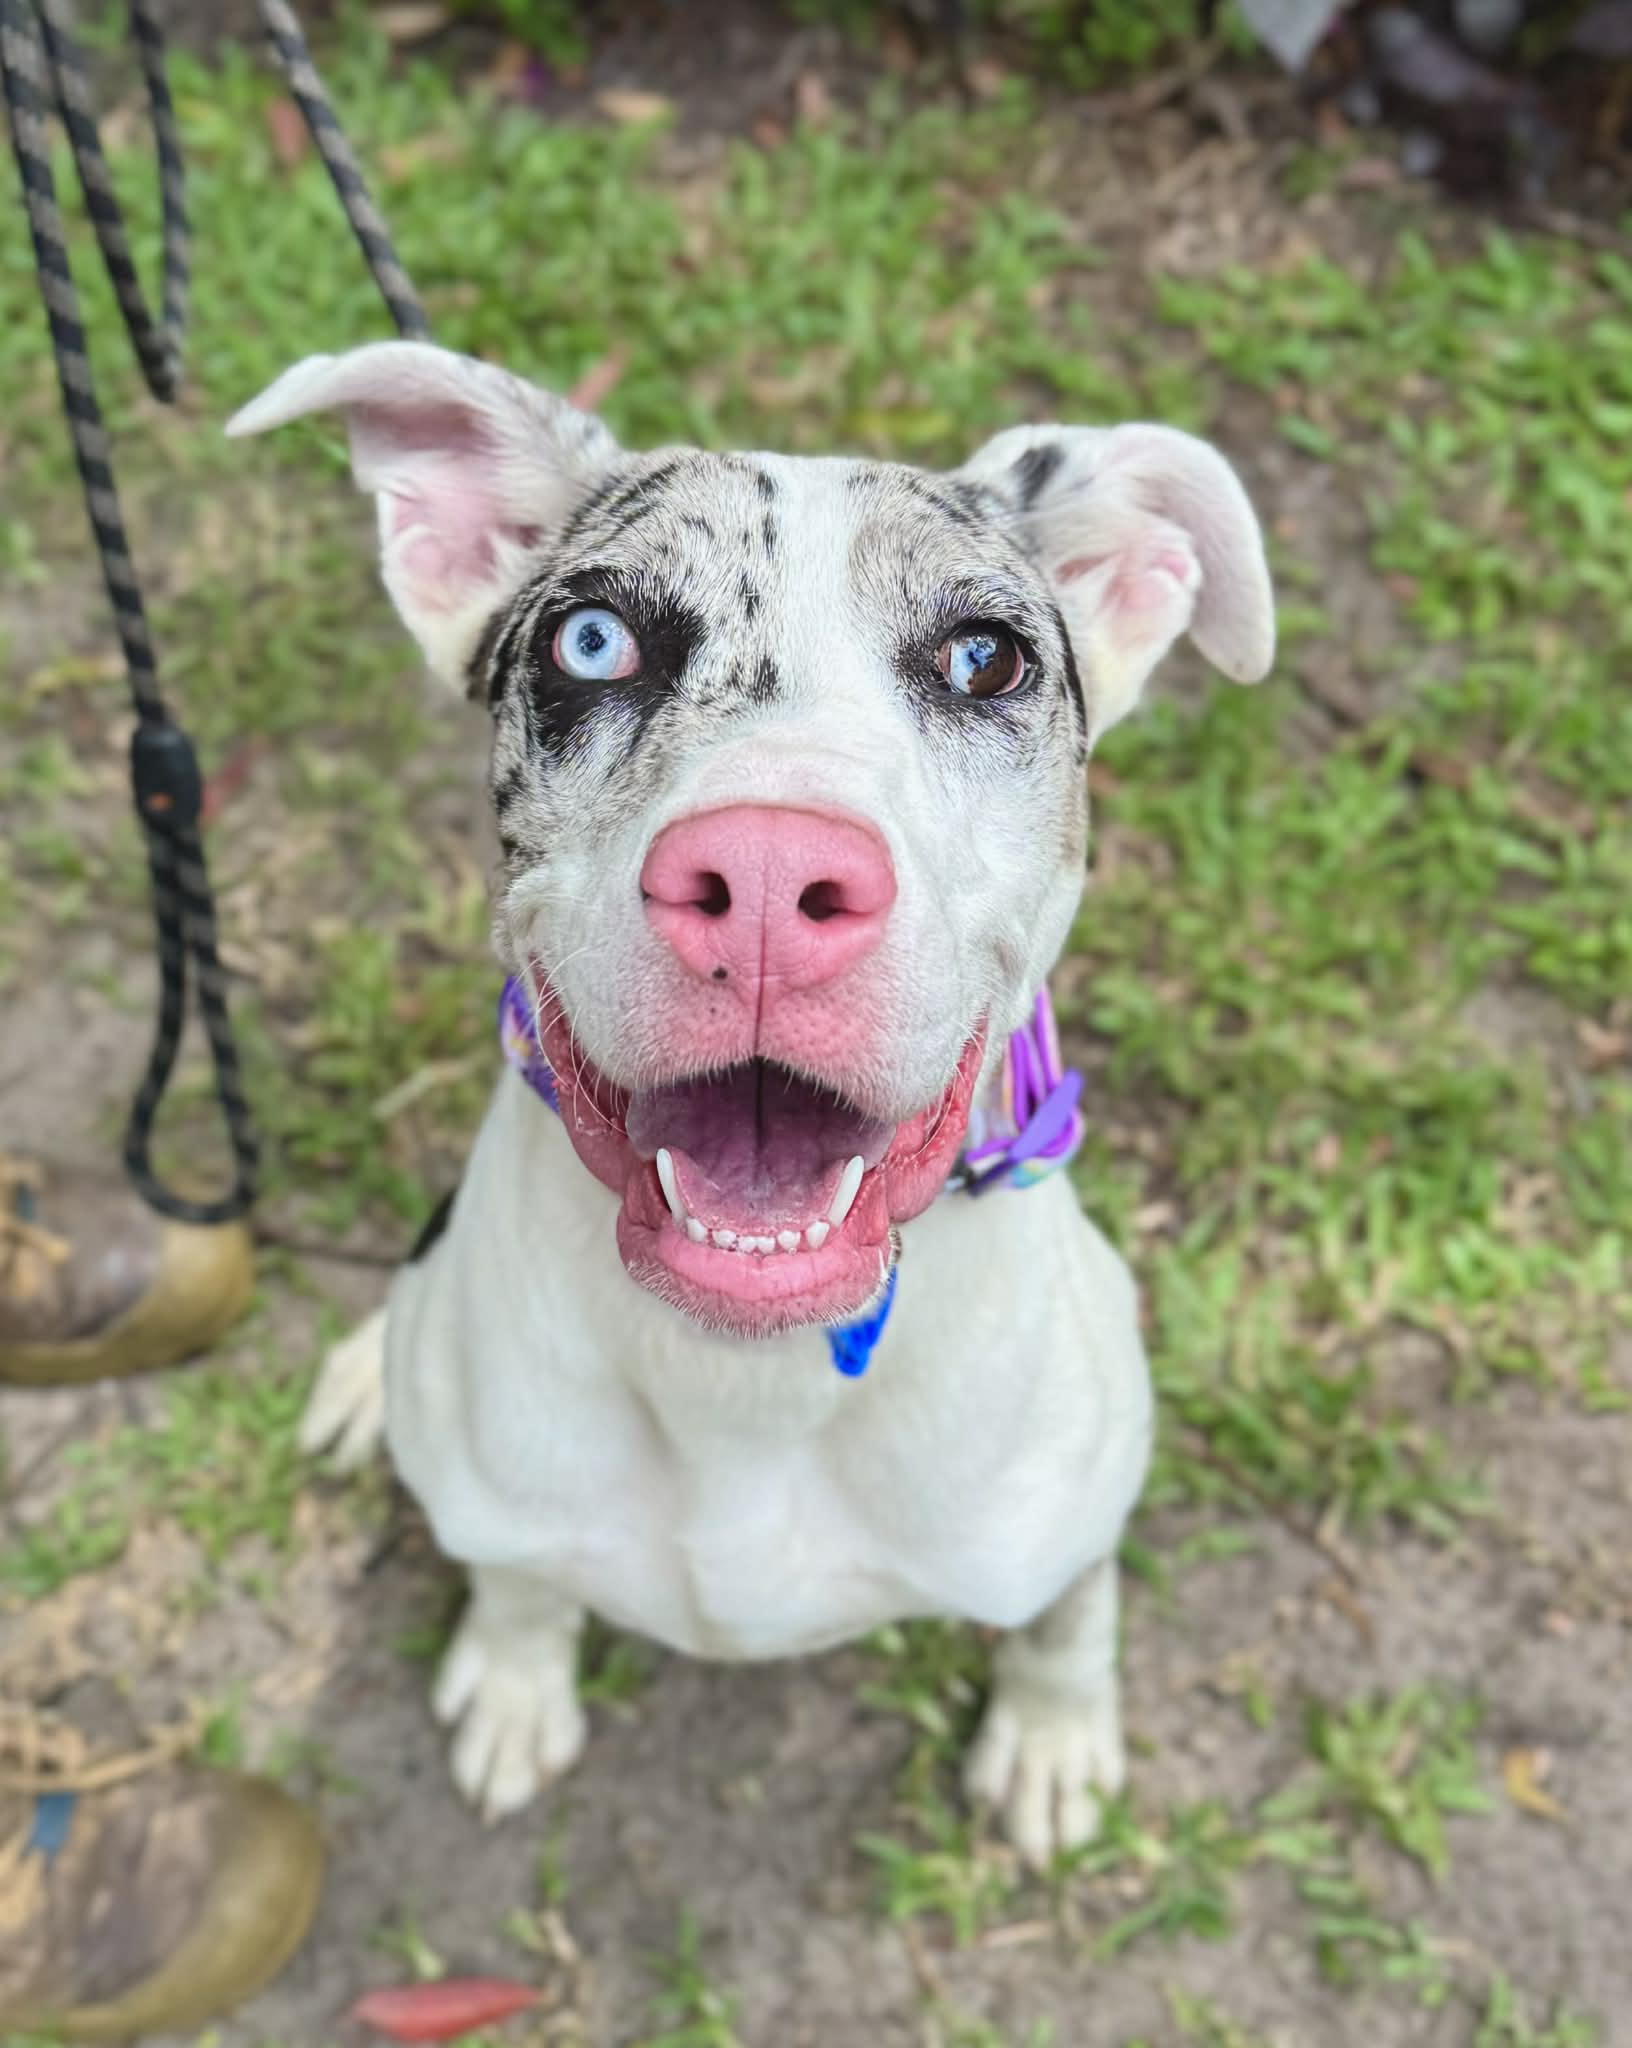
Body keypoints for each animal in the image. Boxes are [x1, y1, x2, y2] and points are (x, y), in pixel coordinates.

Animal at [230, 343, 1274, 1867]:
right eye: (591, 640)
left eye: (986, 656)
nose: (773, 876)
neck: (746, 1377)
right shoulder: (511, 1510)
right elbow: (519, 1584)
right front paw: (514, 1678)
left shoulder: (1068, 1519)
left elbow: (1070, 1613)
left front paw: (1052, 1733)